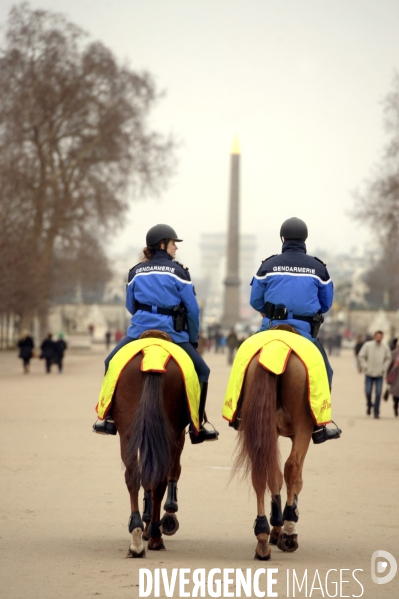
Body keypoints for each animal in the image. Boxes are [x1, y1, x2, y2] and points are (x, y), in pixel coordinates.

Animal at [112, 338, 191, 556]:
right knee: (159, 477)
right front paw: (168, 515)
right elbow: (173, 471)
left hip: (129, 431)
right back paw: (154, 535)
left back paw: (137, 534)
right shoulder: (177, 436)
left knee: (134, 474)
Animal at [234, 336, 316, 560]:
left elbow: (275, 476)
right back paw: (288, 532)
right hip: (303, 424)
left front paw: (275, 524)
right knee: (292, 466)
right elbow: (295, 479)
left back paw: (262, 536)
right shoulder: (300, 433)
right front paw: (284, 522)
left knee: (260, 471)